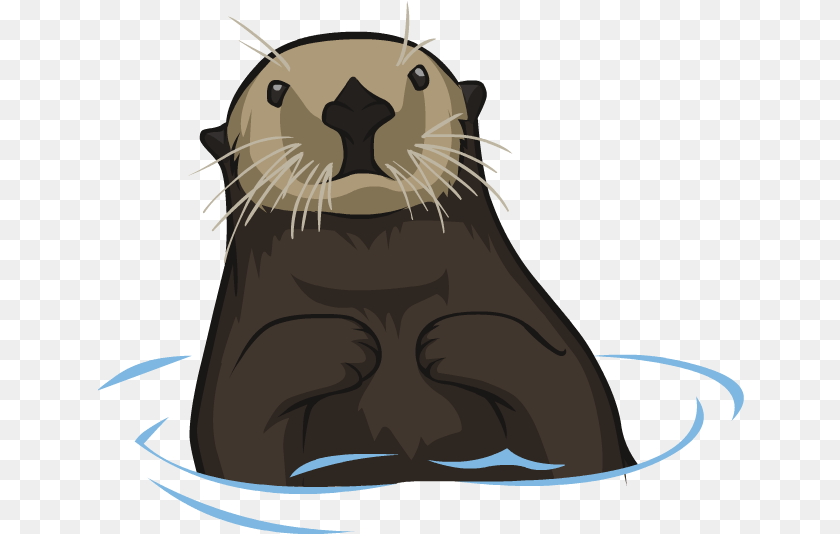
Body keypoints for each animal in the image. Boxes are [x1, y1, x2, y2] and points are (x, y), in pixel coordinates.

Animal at [190, 18, 636, 487]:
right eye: (275, 89)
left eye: (419, 75)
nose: (357, 106)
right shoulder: (234, 363)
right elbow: (240, 429)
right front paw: (334, 343)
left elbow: (575, 422)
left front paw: (458, 339)